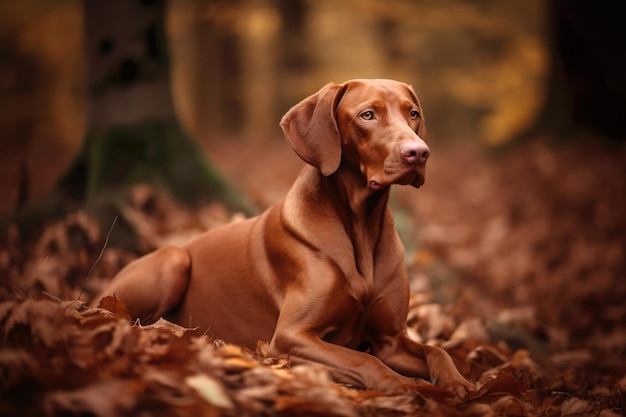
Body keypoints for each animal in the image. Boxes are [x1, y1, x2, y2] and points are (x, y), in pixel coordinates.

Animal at [92, 79, 472, 396]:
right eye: (368, 115)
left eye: (413, 113)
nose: (419, 152)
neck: (361, 227)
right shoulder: (291, 336)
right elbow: (365, 359)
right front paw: (405, 385)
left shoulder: (389, 339)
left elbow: (437, 350)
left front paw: (458, 383)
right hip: (172, 259)